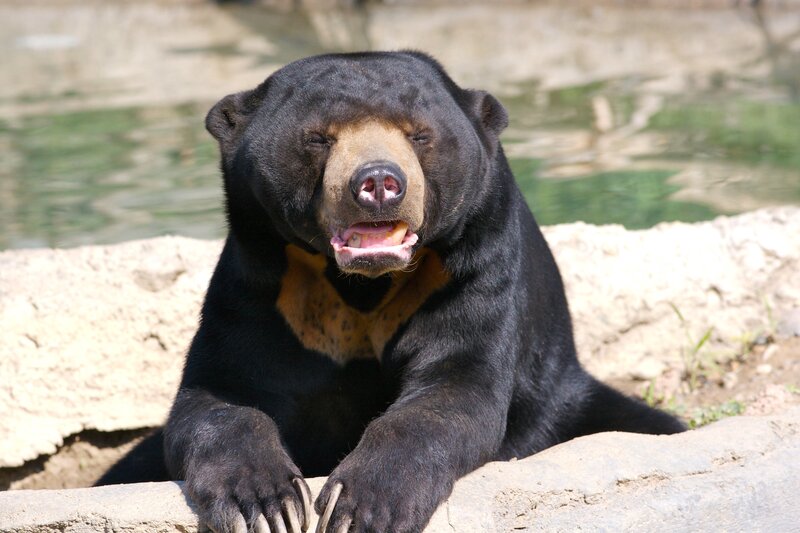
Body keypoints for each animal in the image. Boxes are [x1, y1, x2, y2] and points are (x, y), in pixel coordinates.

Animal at [98, 51, 685, 533]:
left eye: (419, 134)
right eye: (320, 137)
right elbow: (221, 395)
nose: (379, 182)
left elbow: (452, 390)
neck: (362, 283)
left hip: (563, 398)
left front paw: (360, 506)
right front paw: (265, 506)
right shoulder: (262, 285)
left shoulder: (471, 272)